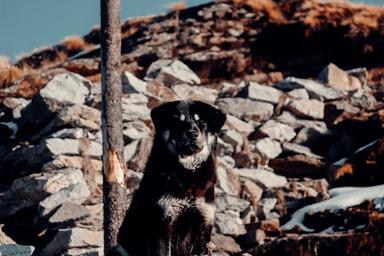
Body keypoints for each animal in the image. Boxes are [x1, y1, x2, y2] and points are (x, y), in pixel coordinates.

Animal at [118, 100, 226, 256]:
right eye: (177, 121)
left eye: (202, 122)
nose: (192, 134)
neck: (188, 174)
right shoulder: (162, 225)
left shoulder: (204, 225)